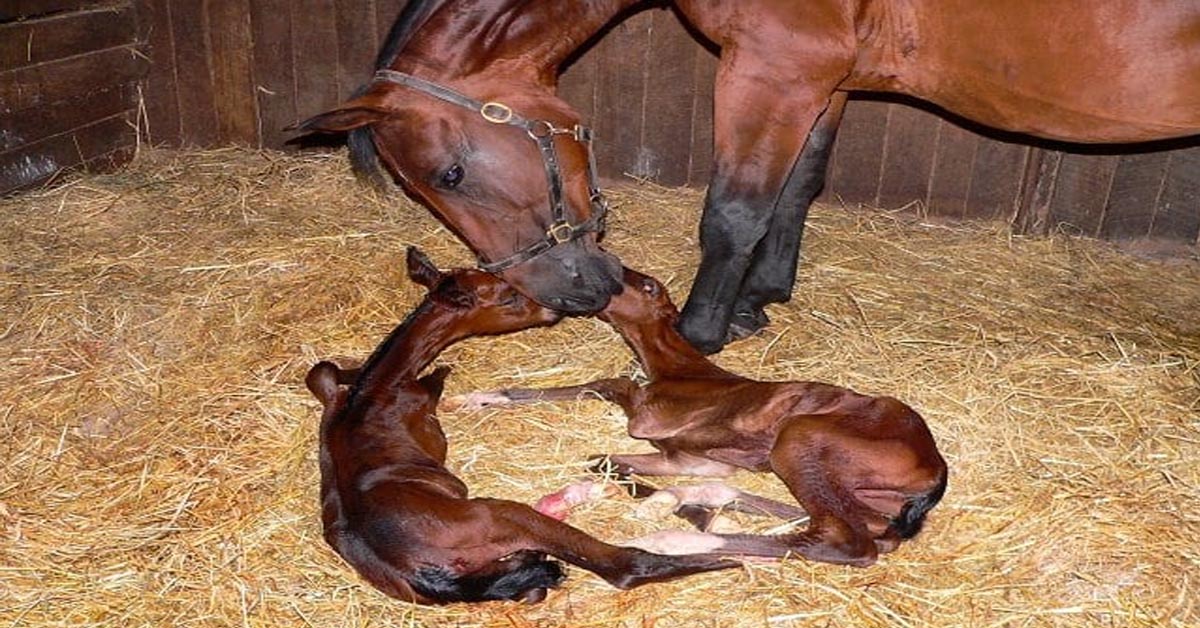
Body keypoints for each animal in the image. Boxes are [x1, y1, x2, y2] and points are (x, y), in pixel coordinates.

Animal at [297, 0, 1200, 353]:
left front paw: (700, 331)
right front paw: (760, 298)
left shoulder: (773, 66)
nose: (571, 293)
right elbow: (795, 190)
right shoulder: (821, 78)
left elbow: (734, 209)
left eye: (451, 172)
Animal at [307, 248, 739, 607]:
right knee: (622, 564)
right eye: (507, 298)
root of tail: (422, 571)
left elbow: (322, 369)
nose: (553, 309)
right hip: (505, 514)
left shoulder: (332, 394)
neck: (379, 386)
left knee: (534, 585)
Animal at [456, 267, 945, 566]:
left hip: (799, 435)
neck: (680, 369)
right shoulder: (686, 458)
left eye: (649, 286)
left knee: (847, 538)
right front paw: (483, 397)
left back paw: (676, 540)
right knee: (872, 528)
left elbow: (617, 389)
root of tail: (935, 470)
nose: (603, 273)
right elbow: (606, 454)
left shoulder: (660, 425)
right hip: (860, 489)